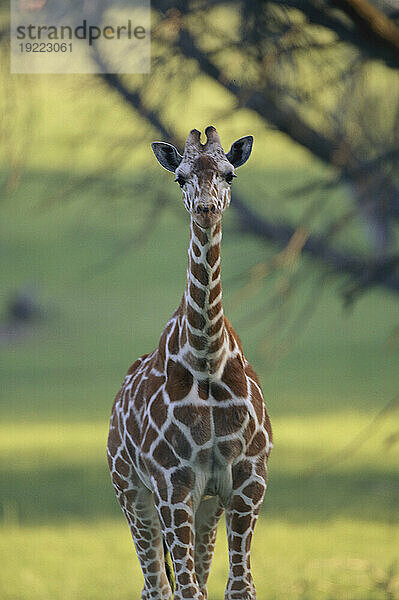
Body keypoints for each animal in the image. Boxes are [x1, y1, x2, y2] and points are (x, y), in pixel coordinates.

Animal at [108, 126, 274, 600]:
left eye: (229, 174)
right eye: (180, 177)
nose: (205, 208)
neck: (207, 359)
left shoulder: (247, 481)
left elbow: (238, 587)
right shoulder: (172, 485)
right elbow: (186, 589)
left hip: (206, 507)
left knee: (191, 576)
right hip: (132, 493)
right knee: (156, 586)